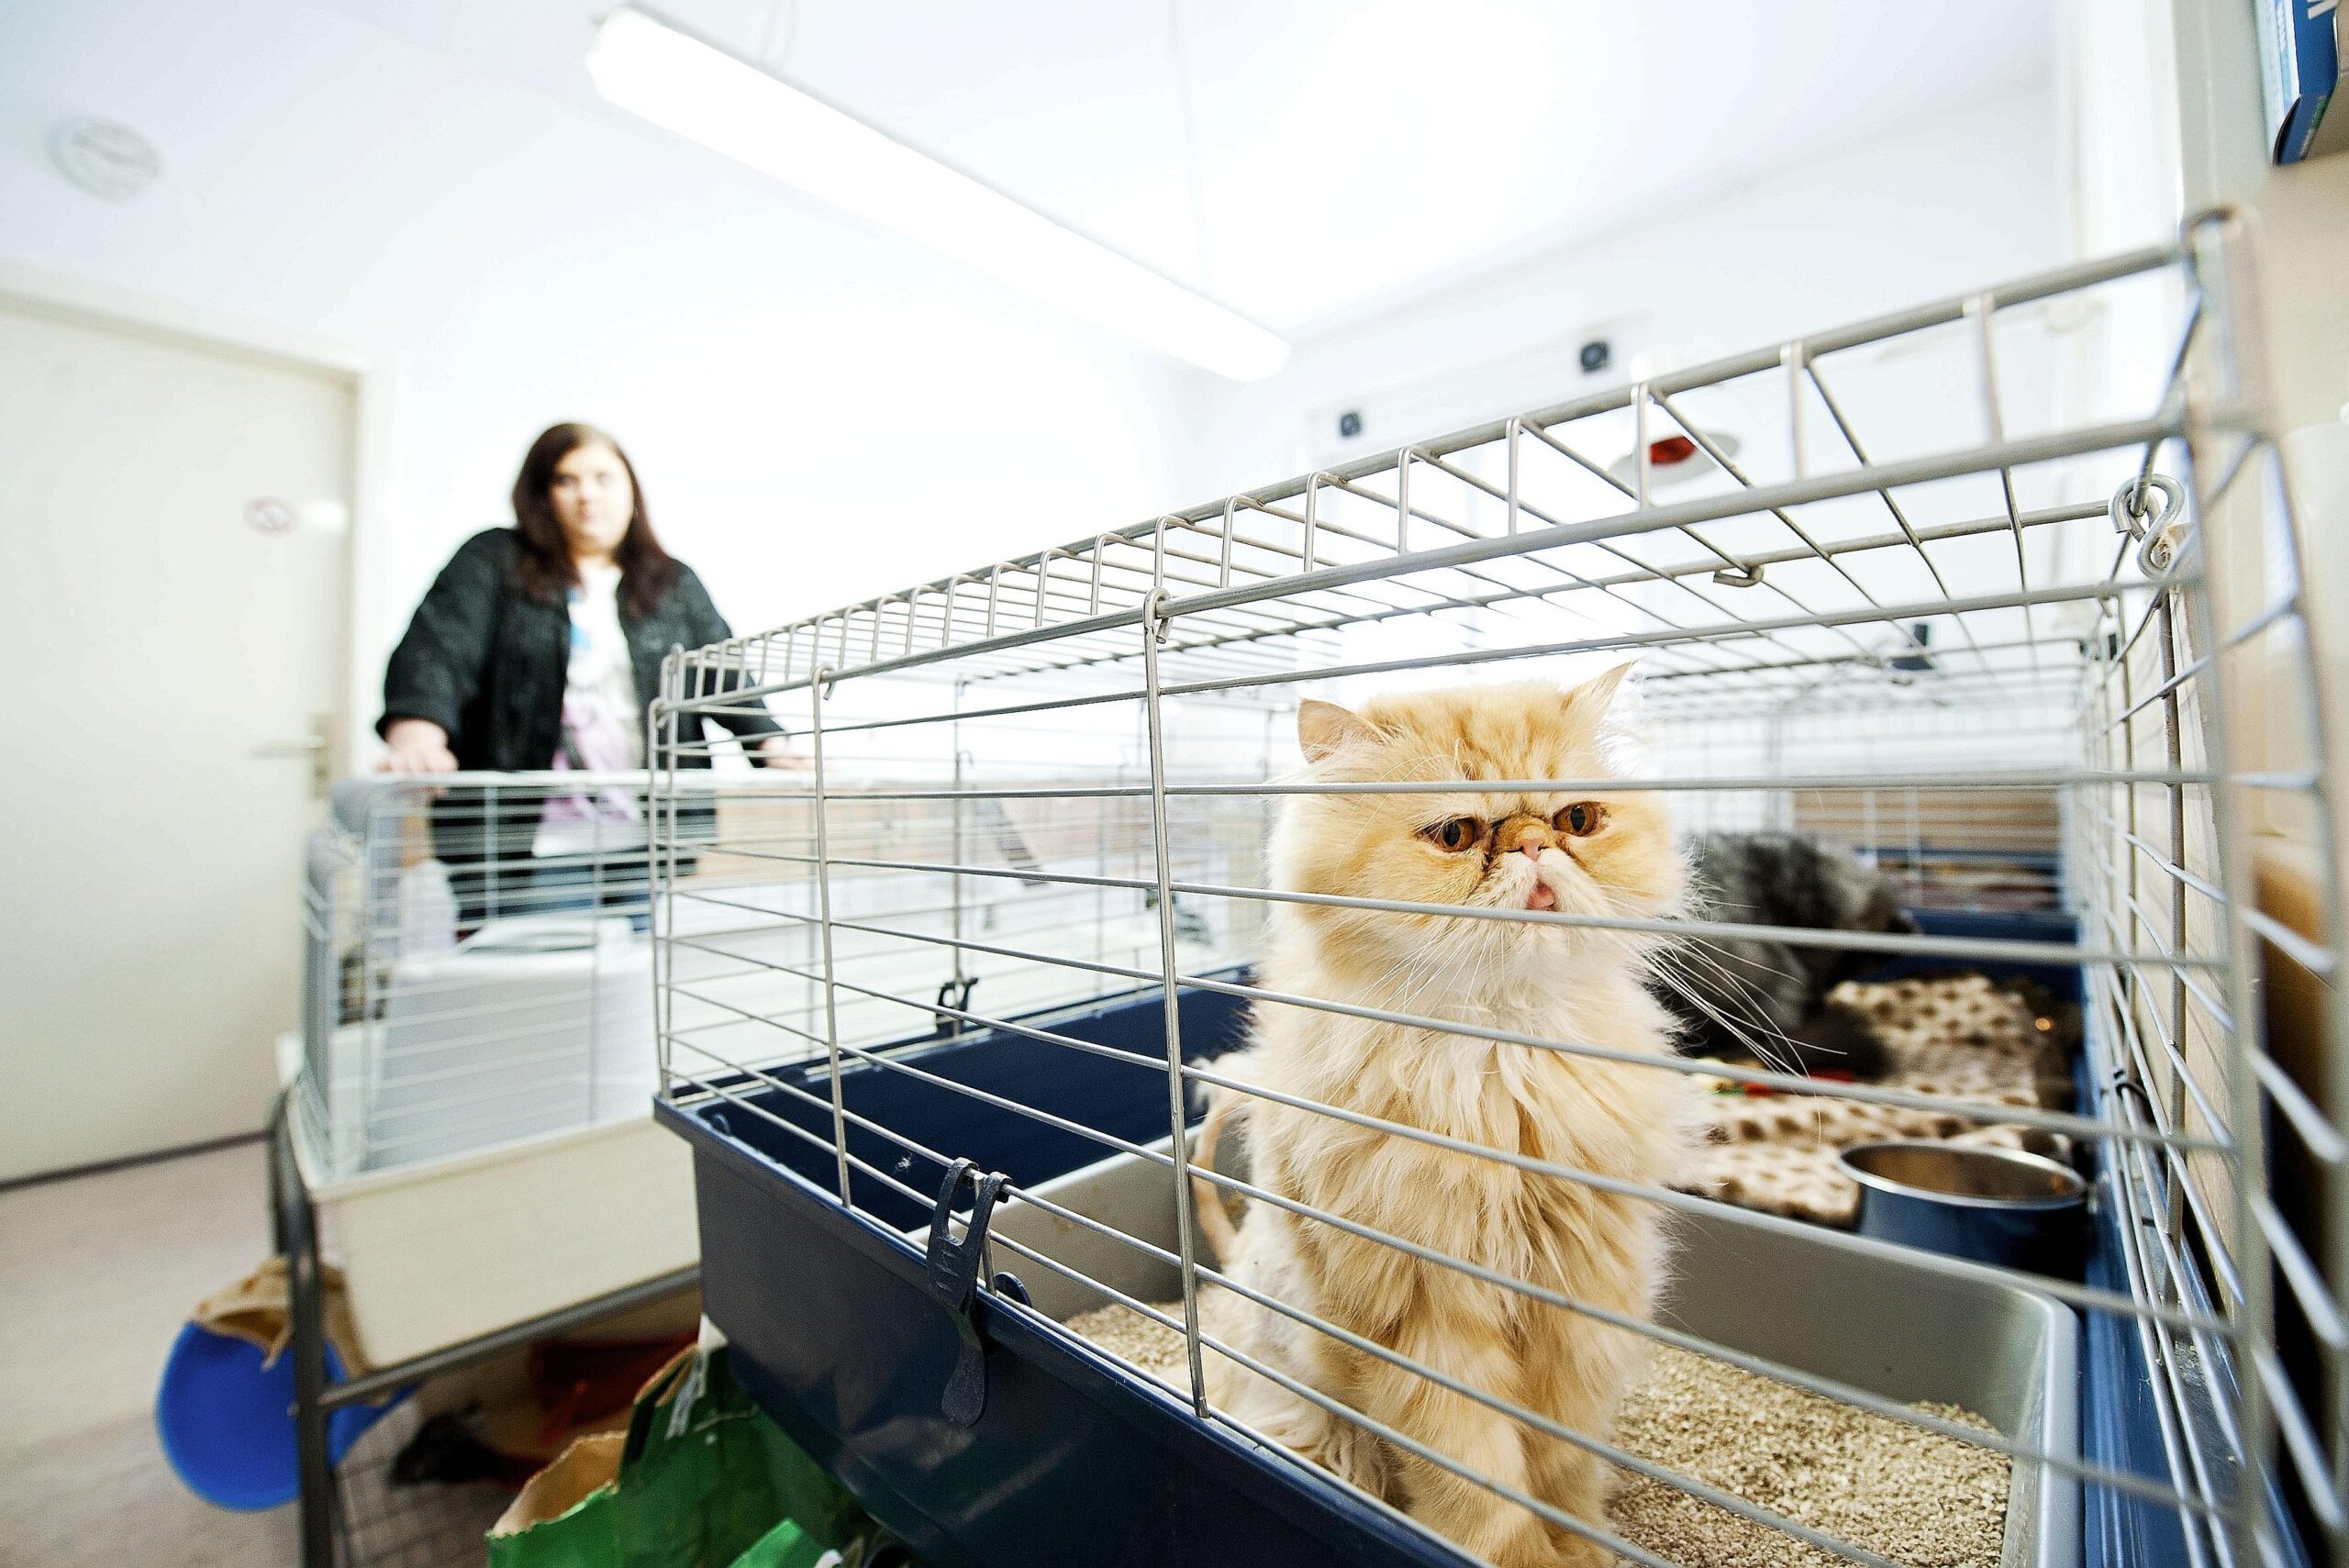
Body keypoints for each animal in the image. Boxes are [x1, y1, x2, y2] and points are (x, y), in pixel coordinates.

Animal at [1202, 671, 1700, 1568]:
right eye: (1457, 834)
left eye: (1578, 820)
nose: (1536, 845)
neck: (1502, 1056)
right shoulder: (1425, 1319)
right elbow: (1480, 1487)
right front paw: (1528, 1557)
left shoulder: (1578, 1300)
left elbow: (1560, 1463)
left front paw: (1583, 1546)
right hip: (1316, 1423)